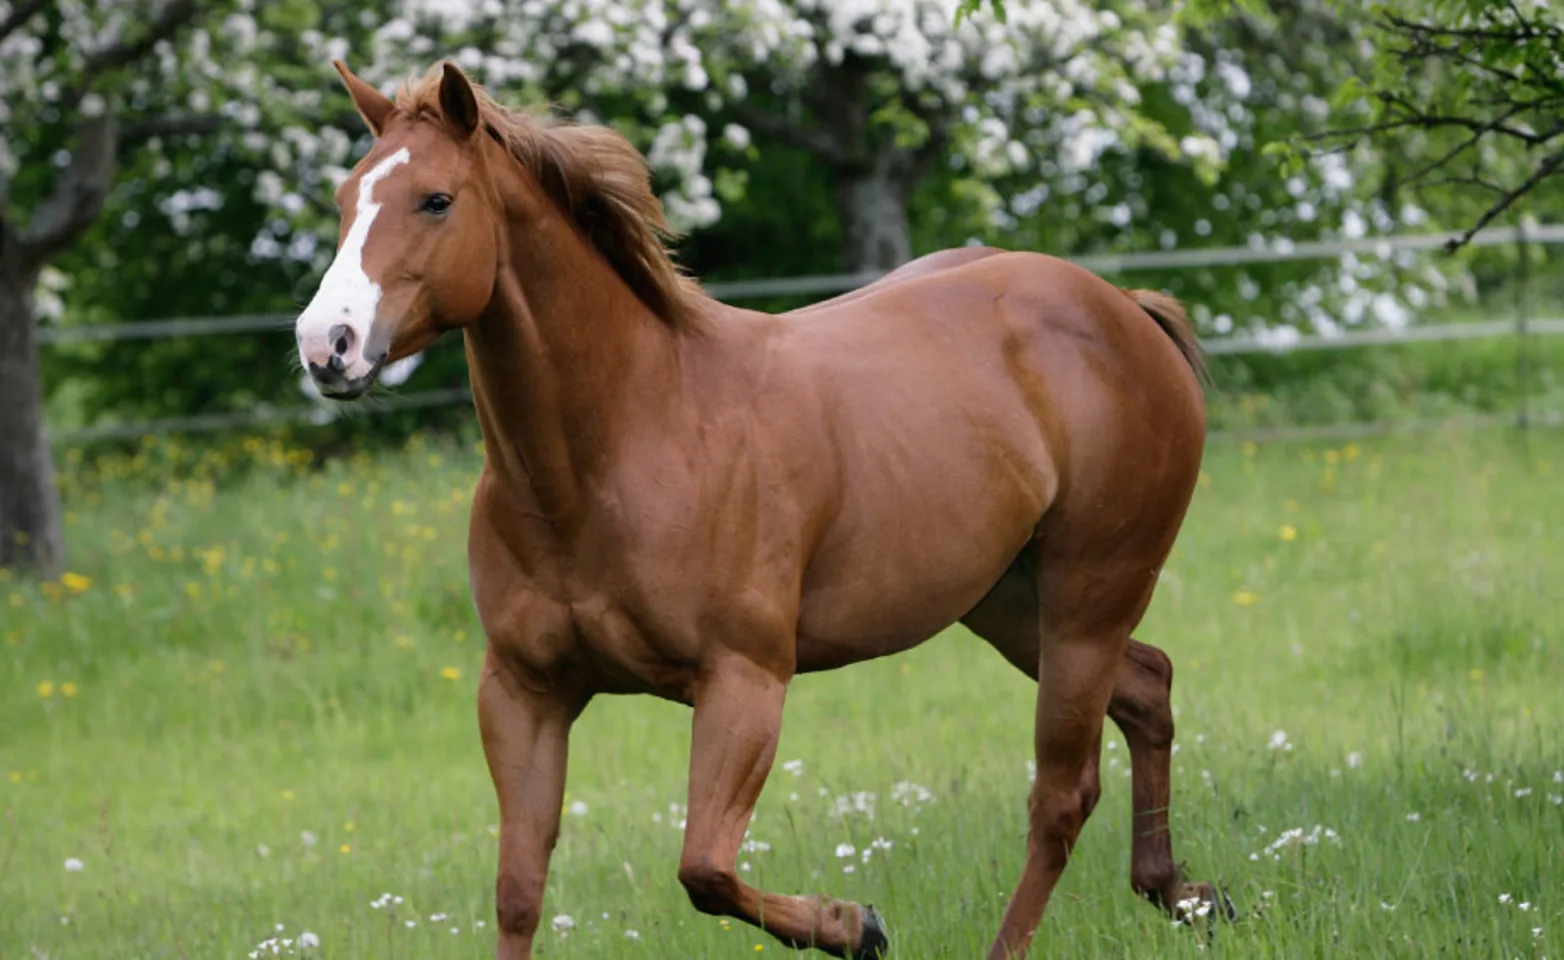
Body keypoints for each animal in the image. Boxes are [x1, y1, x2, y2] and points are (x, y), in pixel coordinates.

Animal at [295, 58, 1224, 960]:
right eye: (343, 200)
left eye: (436, 199)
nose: (325, 345)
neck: (624, 444)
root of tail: (1125, 308)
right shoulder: (525, 694)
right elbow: (519, 893)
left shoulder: (743, 681)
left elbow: (704, 868)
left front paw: (858, 925)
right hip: (1008, 603)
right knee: (1149, 686)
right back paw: (1186, 897)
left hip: (1087, 597)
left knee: (1062, 796)